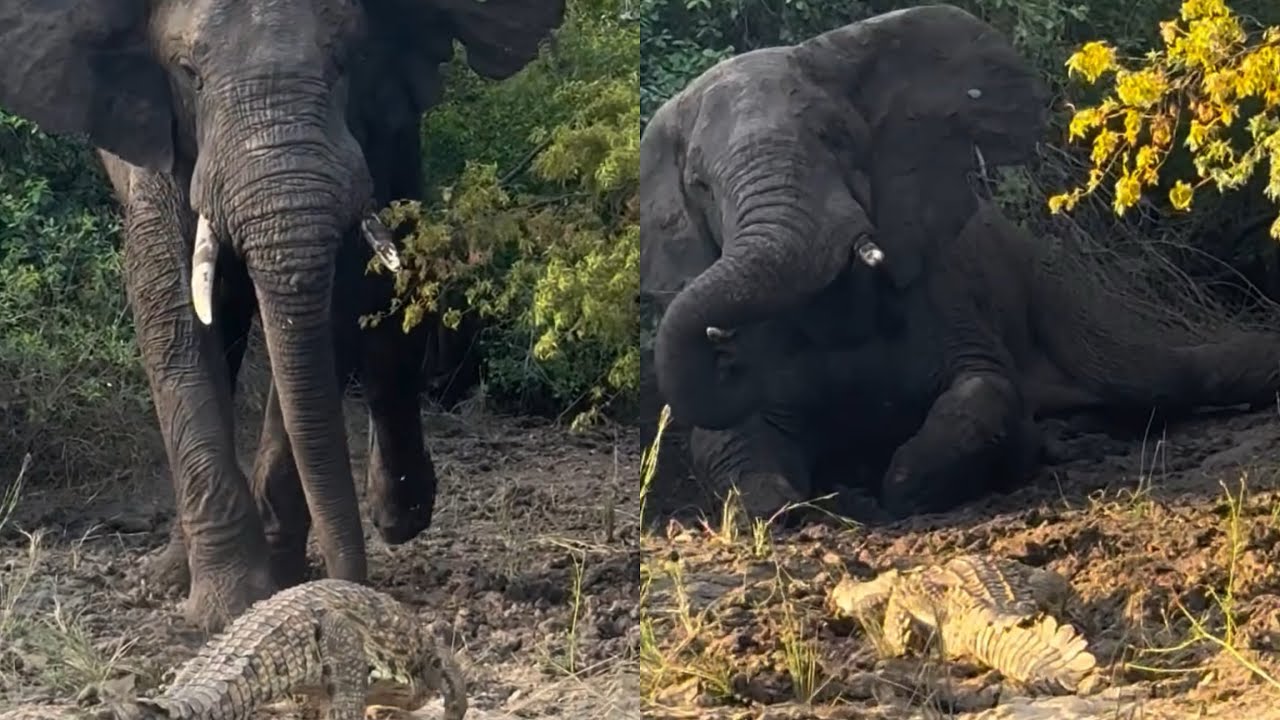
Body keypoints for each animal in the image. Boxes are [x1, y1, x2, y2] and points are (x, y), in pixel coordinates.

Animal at [0, 0, 564, 630]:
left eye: (346, 61)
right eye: (189, 75)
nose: (350, 589)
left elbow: (338, 302)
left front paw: (277, 576)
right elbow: (171, 308)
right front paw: (225, 606)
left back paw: (398, 515)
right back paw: (172, 571)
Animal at [639, 5, 1280, 520]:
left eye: (837, 138)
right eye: (699, 186)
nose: (727, 351)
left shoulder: (946, 285)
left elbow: (984, 390)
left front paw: (898, 488)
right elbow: (725, 443)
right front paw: (806, 503)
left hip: (1052, 288)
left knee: (1161, 374)